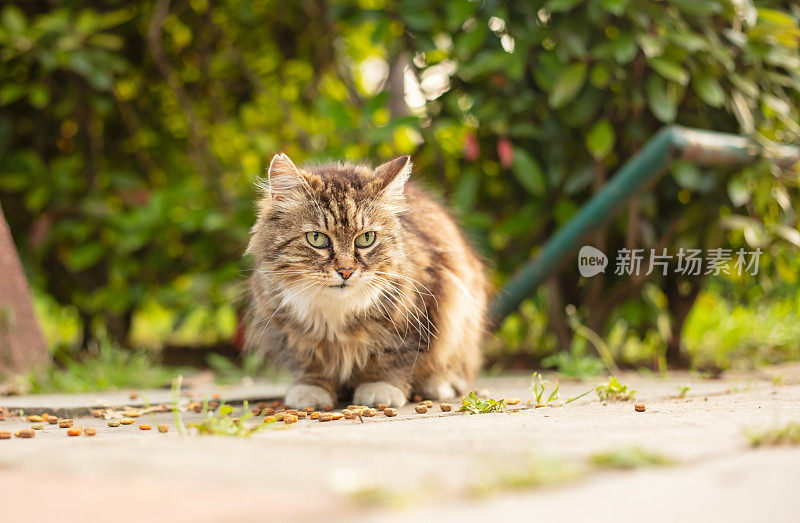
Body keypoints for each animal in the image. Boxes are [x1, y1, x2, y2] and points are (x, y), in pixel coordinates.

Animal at [245, 152, 488, 410]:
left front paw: (380, 388)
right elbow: (310, 364)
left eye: (366, 239)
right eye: (317, 238)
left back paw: (438, 385)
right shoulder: (288, 328)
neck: (336, 310)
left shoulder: (415, 316)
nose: (346, 271)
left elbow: (390, 359)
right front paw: (311, 391)